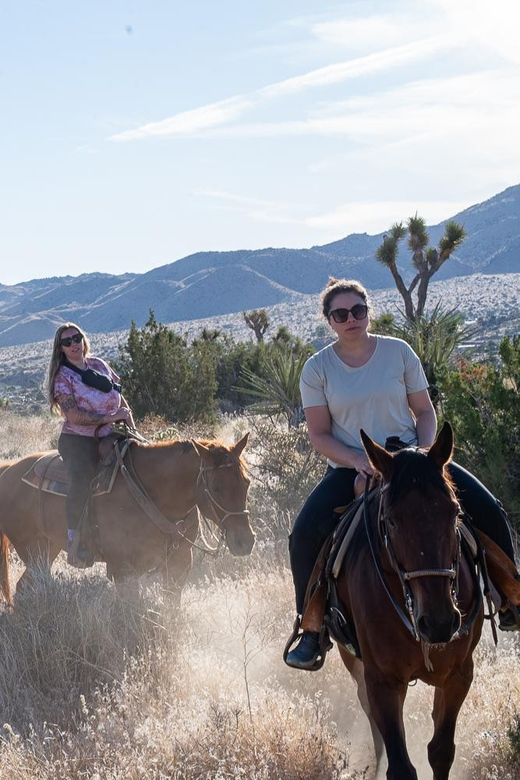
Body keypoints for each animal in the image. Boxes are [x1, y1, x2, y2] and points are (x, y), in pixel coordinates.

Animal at [0, 432, 254, 596]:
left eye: (247, 483)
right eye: (216, 488)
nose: (245, 542)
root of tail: (8, 469)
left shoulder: (179, 564)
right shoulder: (123, 569)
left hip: (48, 548)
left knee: (24, 587)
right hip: (33, 550)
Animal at [338, 426, 484, 780]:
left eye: (455, 512)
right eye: (391, 520)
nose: (440, 622)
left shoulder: (459, 675)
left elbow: (441, 751)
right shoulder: (382, 681)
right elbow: (400, 764)